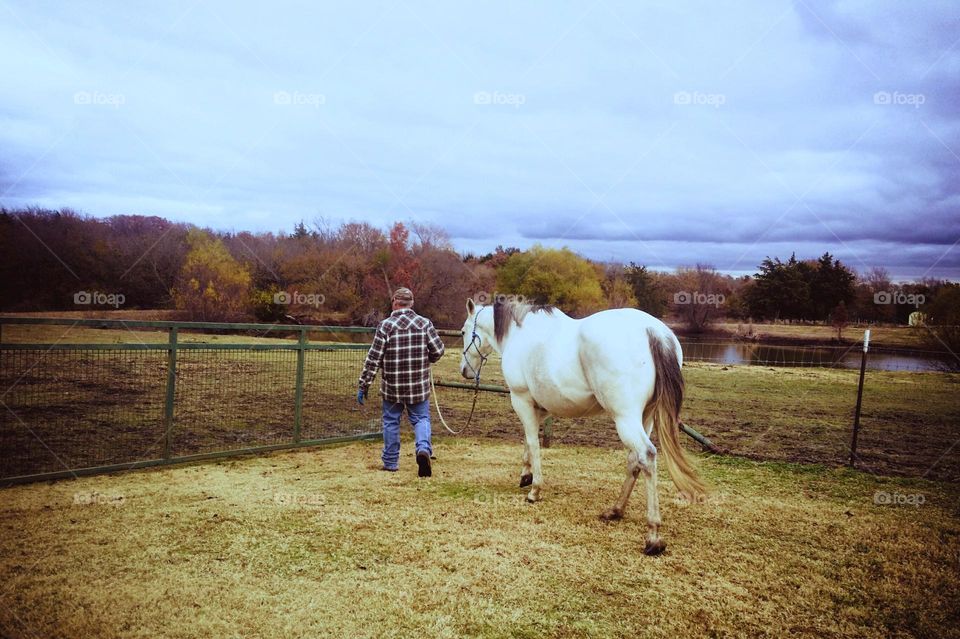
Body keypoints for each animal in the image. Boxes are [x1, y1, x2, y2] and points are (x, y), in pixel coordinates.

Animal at [462, 300, 708, 556]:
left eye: (462, 332)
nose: (465, 371)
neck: (519, 334)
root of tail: (654, 331)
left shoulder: (521, 400)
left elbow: (533, 443)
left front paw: (534, 490)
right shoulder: (538, 409)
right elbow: (527, 443)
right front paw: (525, 476)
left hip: (626, 418)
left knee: (646, 455)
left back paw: (653, 536)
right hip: (645, 418)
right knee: (635, 460)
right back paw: (615, 510)